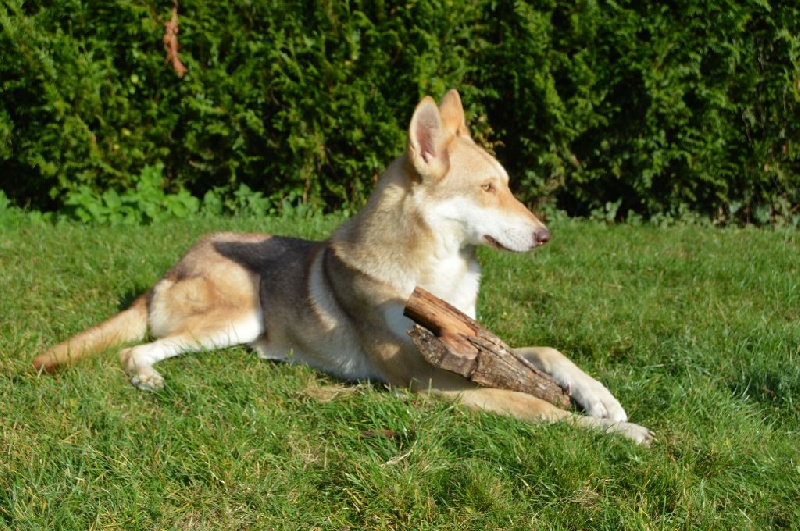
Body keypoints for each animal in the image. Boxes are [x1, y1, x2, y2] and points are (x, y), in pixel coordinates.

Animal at [34, 90, 652, 444]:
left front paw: (602, 399)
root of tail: (172, 266)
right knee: (133, 351)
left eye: (507, 185)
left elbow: (547, 353)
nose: (547, 235)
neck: (435, 269)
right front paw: (616, 431)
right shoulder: (426, 378)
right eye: (488, 188)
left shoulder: (476, 345)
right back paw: (146, 377)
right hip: (238, 313)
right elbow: (533, 404)